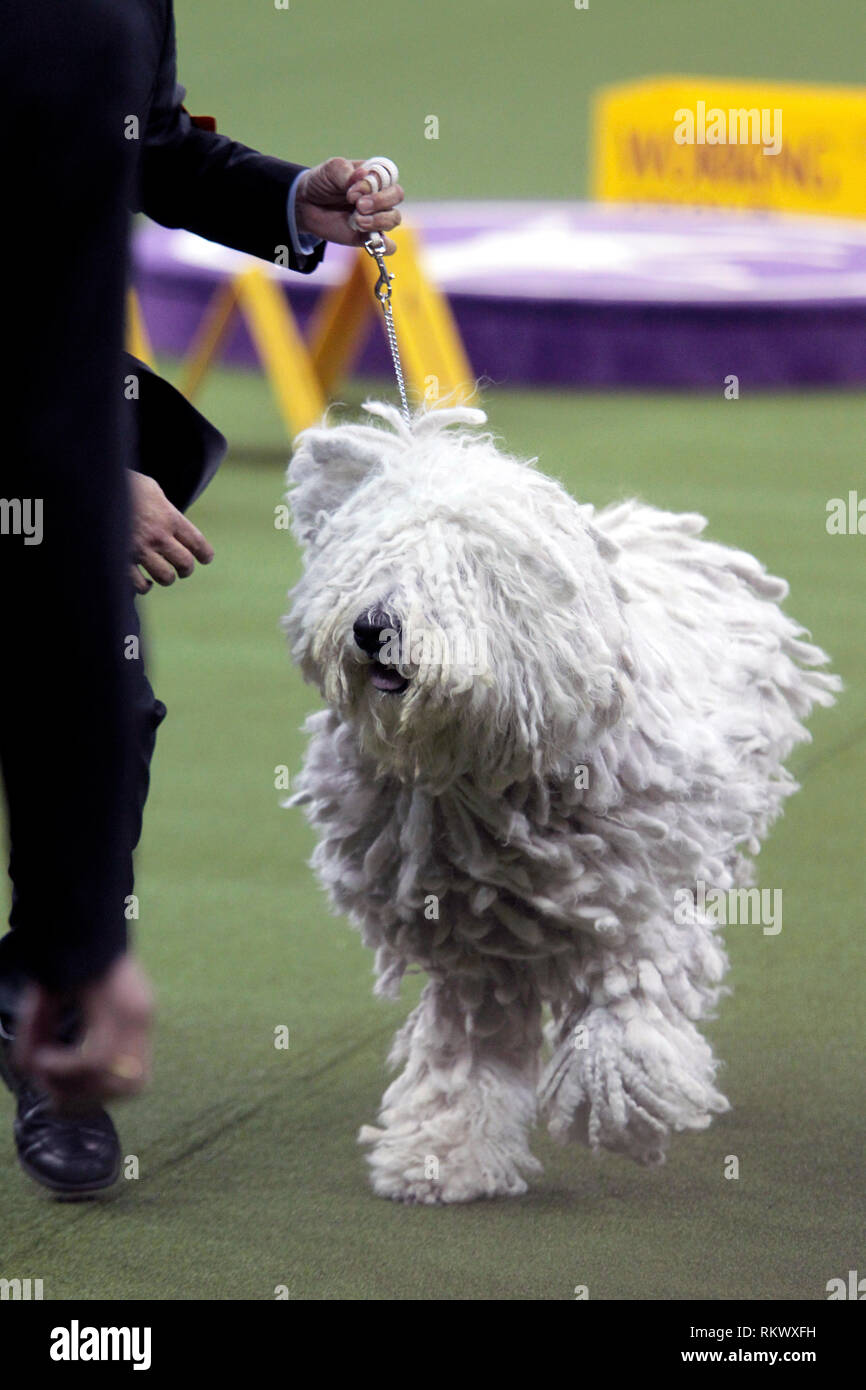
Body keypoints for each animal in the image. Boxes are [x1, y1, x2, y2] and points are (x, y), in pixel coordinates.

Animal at [284, 403, 839, 1206]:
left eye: (466, 569)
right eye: (373, 555)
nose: (373, 626)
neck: (480, 778)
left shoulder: (636, 896)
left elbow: (630, 996)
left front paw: (625, 1098)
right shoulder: (470, 945)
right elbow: (468, 1047)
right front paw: (444, 1154)